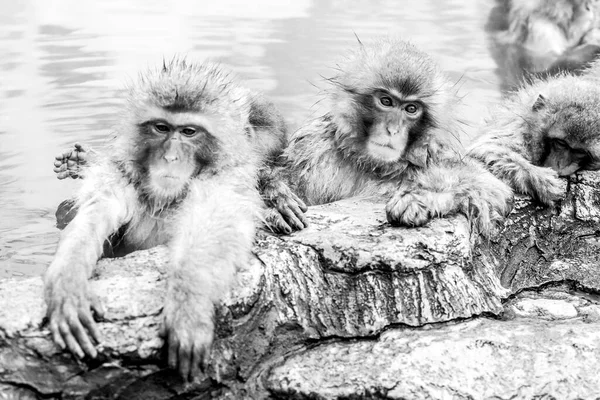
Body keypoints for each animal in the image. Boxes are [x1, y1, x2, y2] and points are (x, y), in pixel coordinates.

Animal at [44, 60, 300, 382]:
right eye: (161, 128)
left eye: (189, 132)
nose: (170, 158)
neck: (166, 198)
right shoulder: (122, 175)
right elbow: (94, 215)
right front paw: (68, 281)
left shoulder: (224, 180)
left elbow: (213, 229)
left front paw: (187, 306)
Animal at [274, 37, 512, 234]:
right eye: (386, 101)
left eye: (411, 109)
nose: (393, 130)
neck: (372, 165)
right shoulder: (311, 145)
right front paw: (275, 199)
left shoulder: (434, 157)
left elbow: (490, 188)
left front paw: (420, 199)